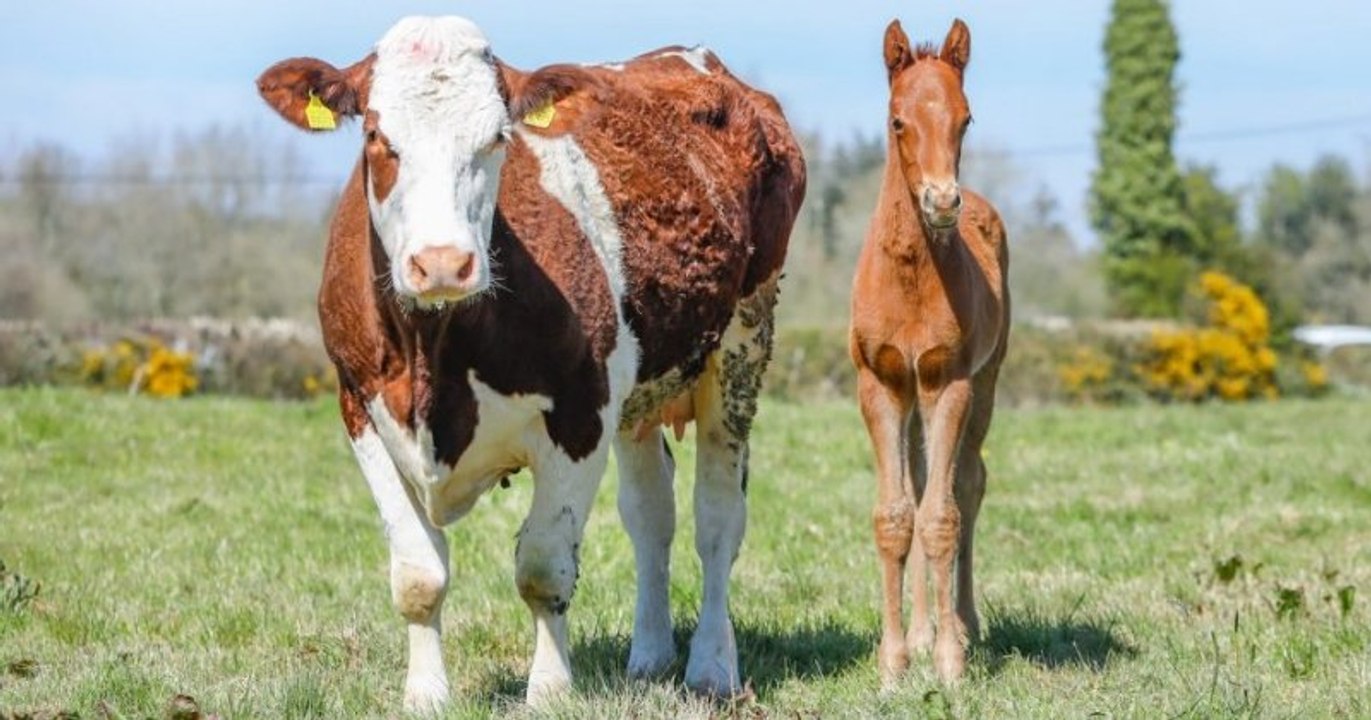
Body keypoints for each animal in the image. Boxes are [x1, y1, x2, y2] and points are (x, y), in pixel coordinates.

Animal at [256, 16, 805, 712]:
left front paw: (548, 691)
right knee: (651, 516)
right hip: (641, 393)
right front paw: (426, 695)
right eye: (378, 135)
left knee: (717, 519)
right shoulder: (360, 409)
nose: (442, 262)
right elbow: (418, 575)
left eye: (497, 137)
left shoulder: (581, 413)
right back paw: (649, 657)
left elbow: (543, 568)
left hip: (740, 350)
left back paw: (710, 666)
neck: (434, 352)